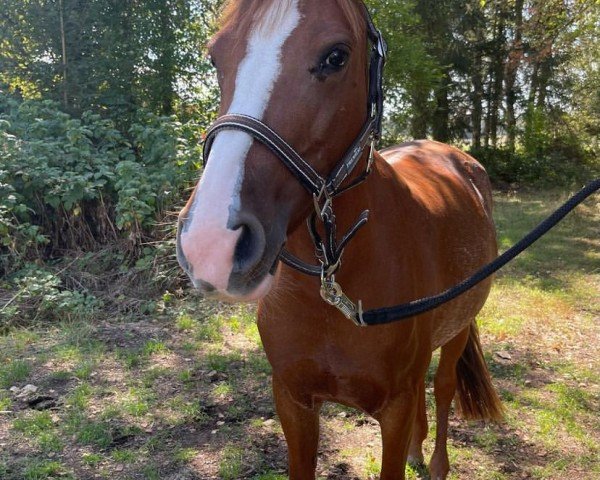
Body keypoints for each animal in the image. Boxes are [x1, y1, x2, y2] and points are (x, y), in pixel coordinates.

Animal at [177, 1, 502, 478]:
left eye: (336, 56)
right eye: (215, 57)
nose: (210, 243)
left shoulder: (395, 410)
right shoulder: (293, 401)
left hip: (457, 332)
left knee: (442, 389)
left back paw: (436, 461)